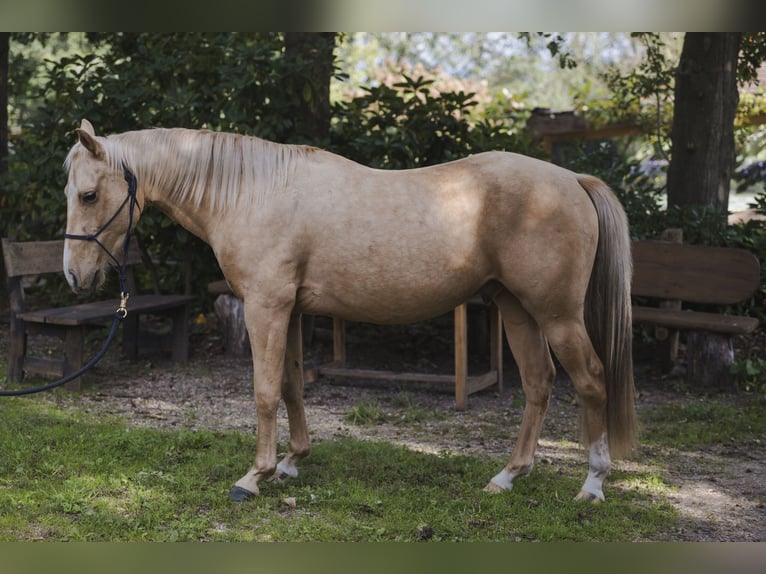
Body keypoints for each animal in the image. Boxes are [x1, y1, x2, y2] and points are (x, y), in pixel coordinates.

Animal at [63, 119, 636, 503]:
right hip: (517, 309)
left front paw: (254, 477)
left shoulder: (267, 308)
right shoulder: (291, 311)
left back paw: (592, 484)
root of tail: (573, 179)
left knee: (591, 380)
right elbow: (292, 385)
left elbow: (264, 392)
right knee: (540, 384)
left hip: (557, 315)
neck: (253, 193)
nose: (73, 276)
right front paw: (292, 462)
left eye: (89, 194)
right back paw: (507, 477)